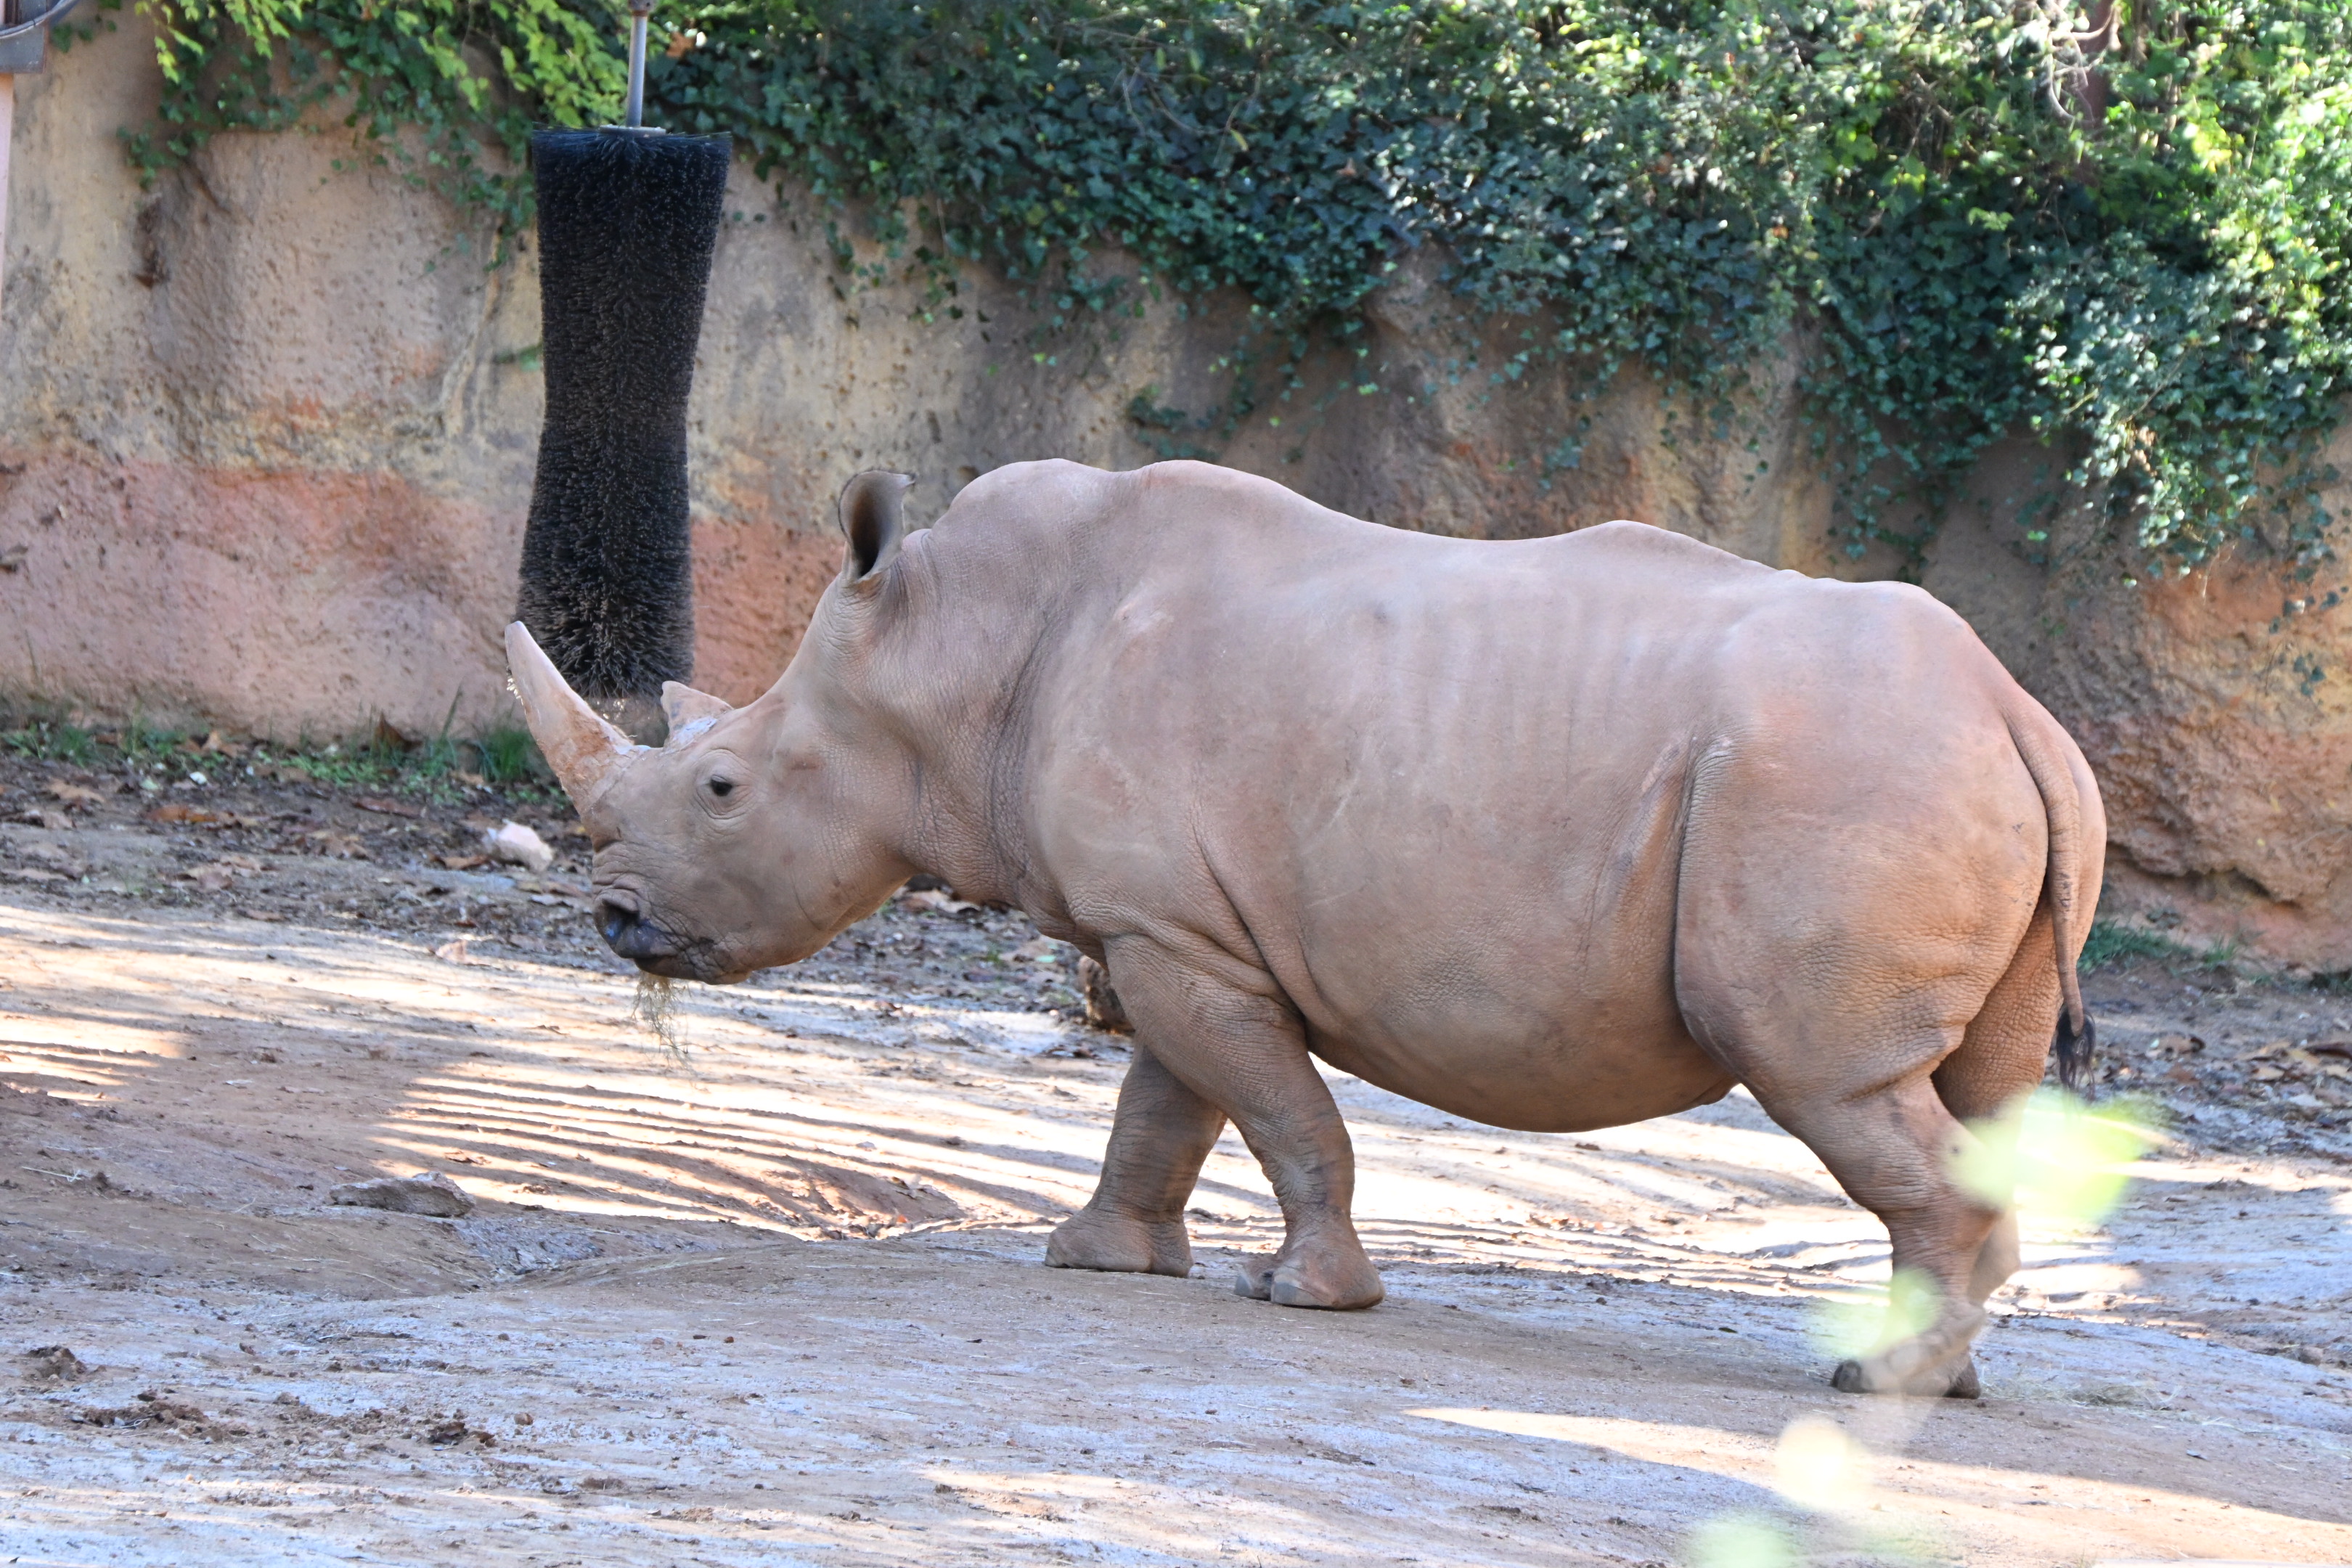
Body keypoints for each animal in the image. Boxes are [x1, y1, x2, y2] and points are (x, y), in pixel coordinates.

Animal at [507, 459, 2102, 1398]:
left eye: (720, 788)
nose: (615, 922)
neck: (955, 648)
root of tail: (2015, 710)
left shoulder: (1173, 930)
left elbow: (1274, 1109)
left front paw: (1303, 1297)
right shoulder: (1171, 925)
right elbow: (1168, 1106)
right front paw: (1099, 1261)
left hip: (1842, 785)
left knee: (1825, 1080)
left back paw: (1881, 1389)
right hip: (1927, 776)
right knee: (1962, 1092)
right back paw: (1933, 1380)